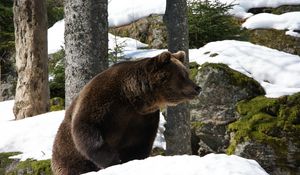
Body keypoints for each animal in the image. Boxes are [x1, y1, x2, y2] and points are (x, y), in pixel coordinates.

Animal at [51, 50, 202, 174]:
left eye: (186, 73)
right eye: (182, 75)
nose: (197, 88)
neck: (132, 98)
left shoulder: (142, 118)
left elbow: (139, 143)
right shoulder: (102, 100)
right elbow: (86, 128)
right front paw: (113, 160)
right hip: (66, 155)